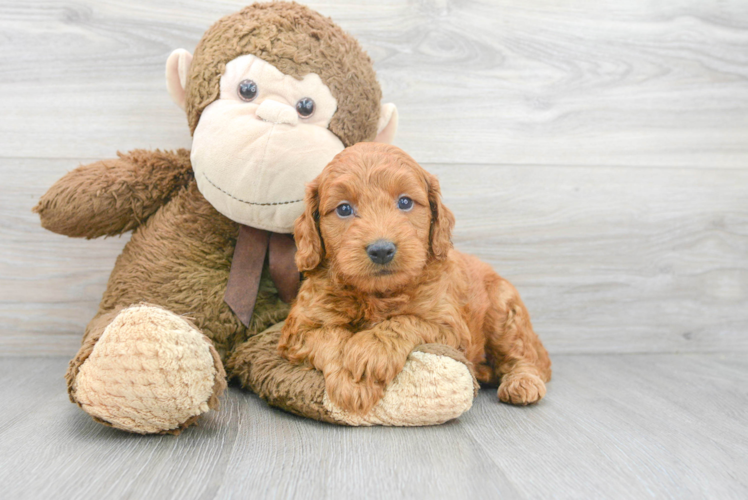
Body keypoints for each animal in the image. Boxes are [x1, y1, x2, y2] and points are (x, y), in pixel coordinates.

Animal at [278, 144, 552, 414]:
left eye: (405, 202)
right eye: (344, 209)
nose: (381, 250)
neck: (377, 295)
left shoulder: (449, 326)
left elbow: (405, 320)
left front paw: (370, 352)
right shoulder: (299, 329)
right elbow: (331, 337)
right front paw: (351, 381)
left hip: (504, 312)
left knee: (524, 356)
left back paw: (522, 382)